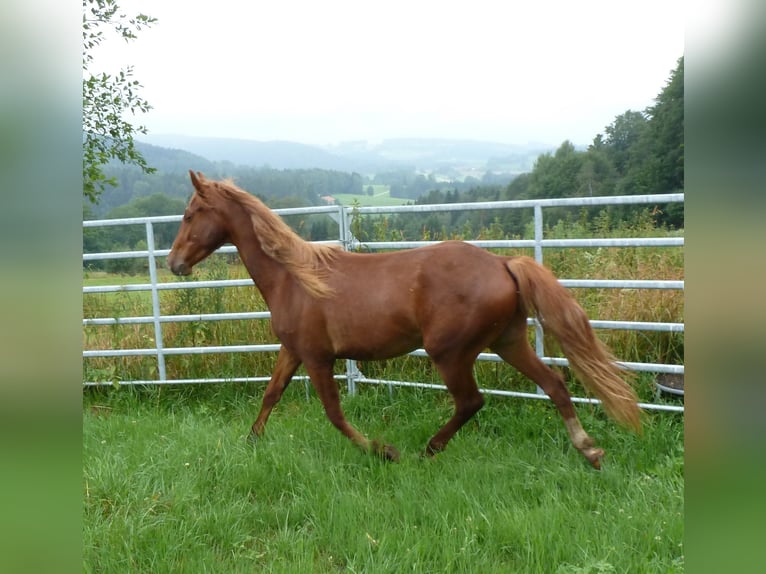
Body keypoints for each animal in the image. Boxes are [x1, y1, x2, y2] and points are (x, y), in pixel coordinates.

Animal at [168, 171, 640, 468]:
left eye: (190, 214)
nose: (174, 263)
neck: (295, 277)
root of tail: (503, 263)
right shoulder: (292, 350)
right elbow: (271, 395)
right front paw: (251, 442)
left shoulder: (319, 358)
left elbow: (334, 414)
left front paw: (383, 451)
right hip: (508, 341)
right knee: (555, 385)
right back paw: (590, 452)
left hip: (450, 352)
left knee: (472, 401)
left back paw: (427, 450)